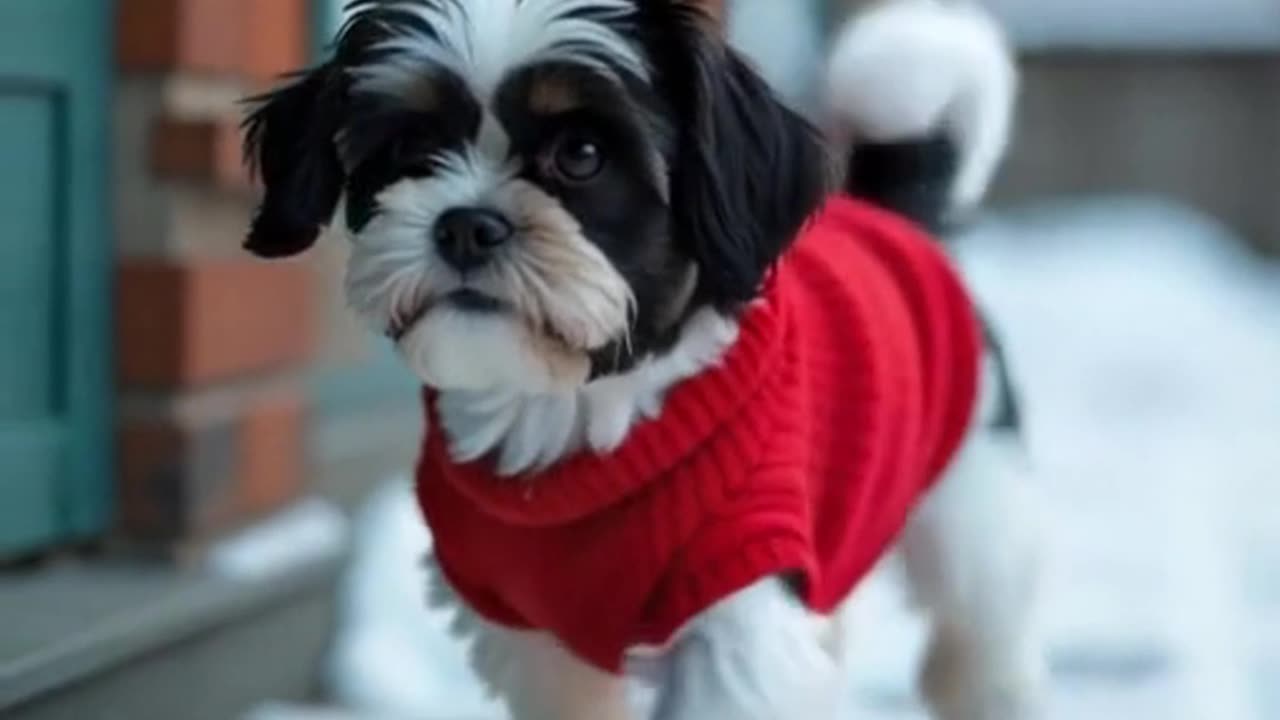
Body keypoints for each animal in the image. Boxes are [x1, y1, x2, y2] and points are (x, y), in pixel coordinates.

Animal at [240, 2, 1039, 712]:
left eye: (583, 155)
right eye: (408, 149)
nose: (466, 224)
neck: (579, 414)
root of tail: (892, 216)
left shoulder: (740, 599)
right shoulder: (532, 633)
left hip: (971, 499)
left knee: (978, 645)